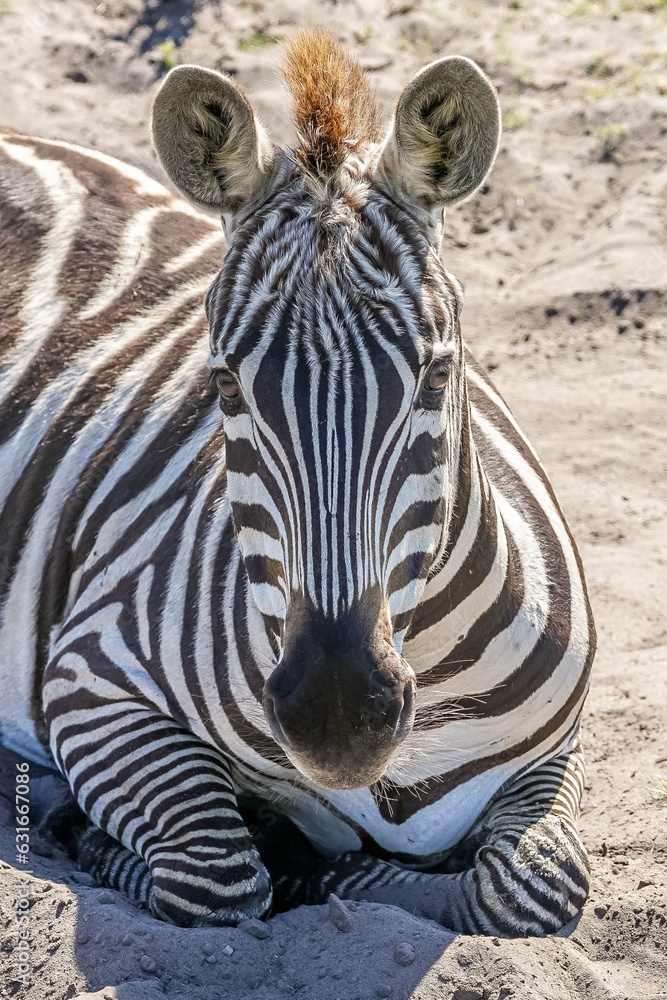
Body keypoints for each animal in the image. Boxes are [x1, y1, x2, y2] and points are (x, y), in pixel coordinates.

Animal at [0, 29, 595, 935]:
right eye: (224, 386)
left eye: (436, 376)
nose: (337, 721)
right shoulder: (90, 675)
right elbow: (214, 877)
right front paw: (287, 858)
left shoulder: (558, 746)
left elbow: (528, 885)